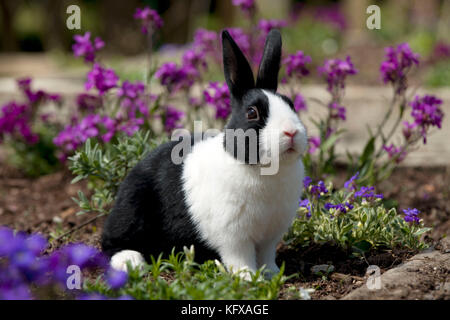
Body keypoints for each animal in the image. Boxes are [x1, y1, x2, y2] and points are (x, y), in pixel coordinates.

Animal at [100, 28, 308, 278]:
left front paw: (273, 274)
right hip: (132, 211)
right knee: (111, 244)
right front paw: (248, 277)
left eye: (291, 104)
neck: (262, 169)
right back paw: (130, 261)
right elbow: (240, 257)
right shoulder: (234, 236)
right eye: (252, 113)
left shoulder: (270, 235)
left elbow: (267, 256)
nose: (292, 132)